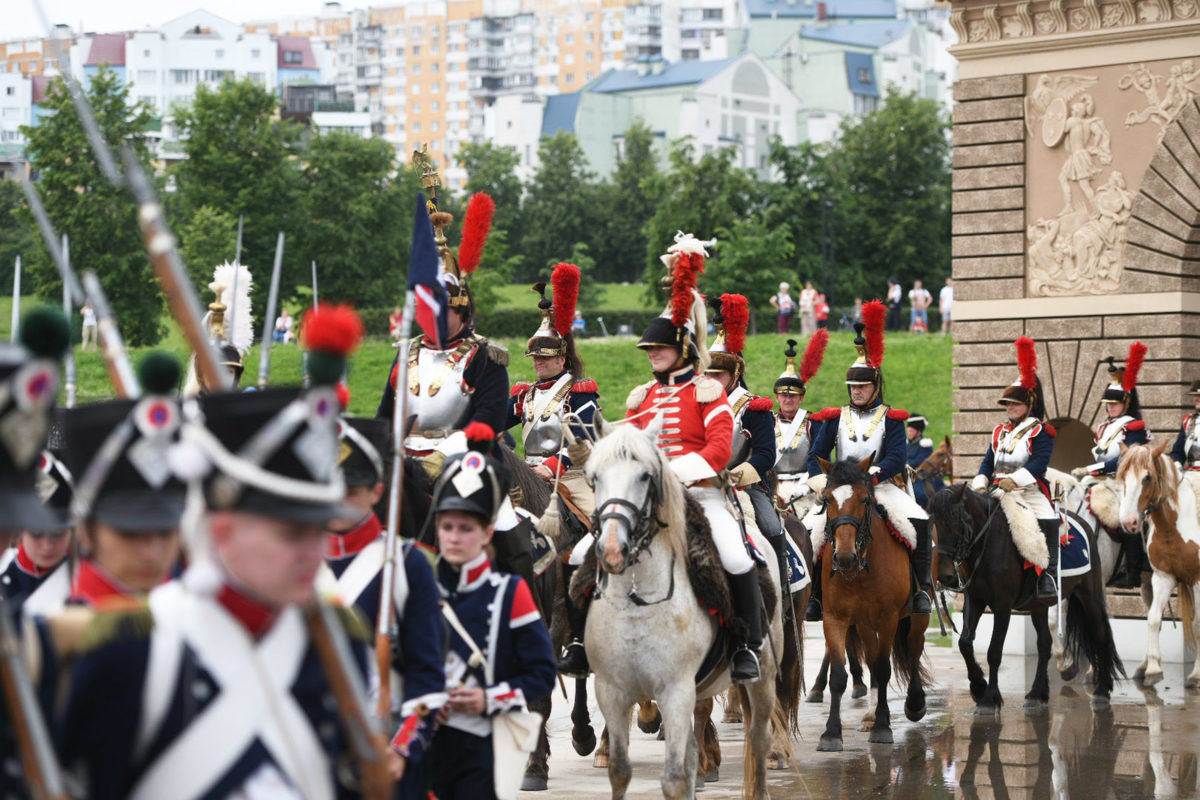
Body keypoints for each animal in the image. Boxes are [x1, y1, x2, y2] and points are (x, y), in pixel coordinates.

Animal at [583, 422, 787, 796]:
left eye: (645, 476)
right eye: (594, 477)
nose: (613, 549)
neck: (638, 603)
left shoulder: (675, 691)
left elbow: (674, 779)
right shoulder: (611, 691)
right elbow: (619, 771)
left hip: (763, 674)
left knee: (759, 737)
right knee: (695, 750)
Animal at [816, 455, 926, 753]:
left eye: (865, 499)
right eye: (827, 499)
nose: (844, 557)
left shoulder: (889, 619)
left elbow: (885, 668)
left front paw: (883, 726)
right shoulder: (834, 618)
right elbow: (839, 675)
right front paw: (831, 733)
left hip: (915, 617)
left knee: (913, 649)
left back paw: (914, 703)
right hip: (865, 623)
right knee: (874, 659)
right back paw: (870, 714)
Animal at [926, 482, 1123, 714]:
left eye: (955, 522)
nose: (944, 577)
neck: (988, 542)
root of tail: (1085, 525)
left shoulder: (1002, 606)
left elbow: (994, 651)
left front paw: (989, 698)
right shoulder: (974, 600)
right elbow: (964, 643)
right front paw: (978, 687)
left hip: (1089, 595)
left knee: (1100, 635)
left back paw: (1101, 690)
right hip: (1039, 605)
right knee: (1045, 643)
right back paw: (1037, 693)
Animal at [1113, 443, 1200, 690]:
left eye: (1148, 477)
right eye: (1122, 476)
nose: (1129, 522)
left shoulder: (1198, 580)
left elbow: (1198, 625)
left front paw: (1196, 674)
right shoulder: (1163, 577)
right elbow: (1153, 619)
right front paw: (1153, 669)